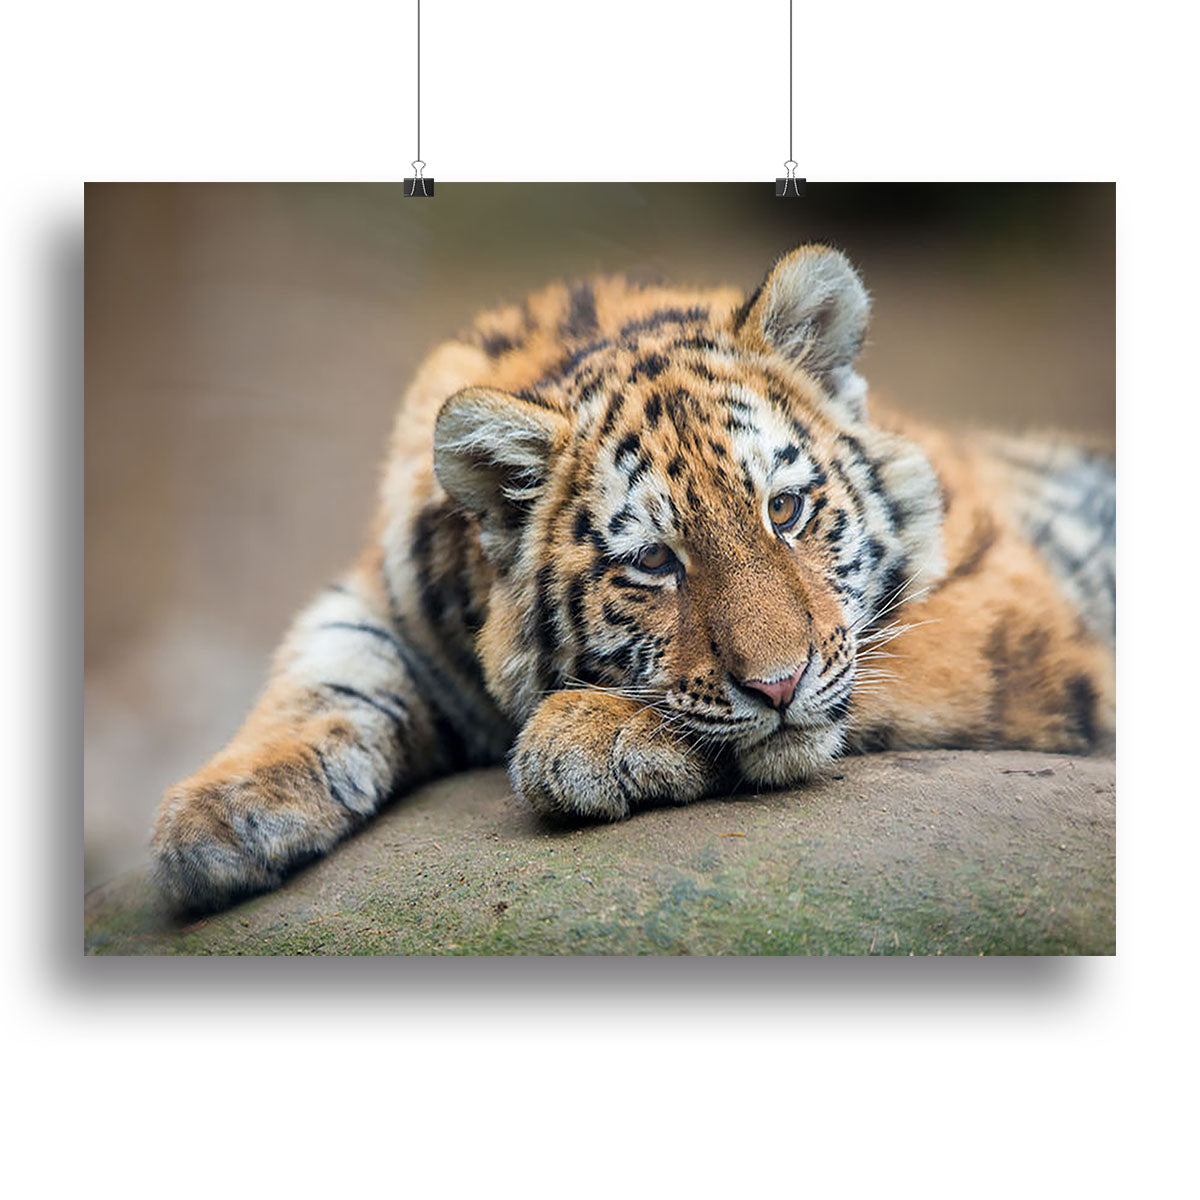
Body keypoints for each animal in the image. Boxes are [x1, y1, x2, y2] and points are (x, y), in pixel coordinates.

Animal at [151, 245, 1116, 913]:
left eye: (786, 510)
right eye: (654, 561)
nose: (780, 685)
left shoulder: (1010, 603)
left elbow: (881, 660)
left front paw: (587, 737)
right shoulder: (388, 600)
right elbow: (326, 668)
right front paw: (217, 817)